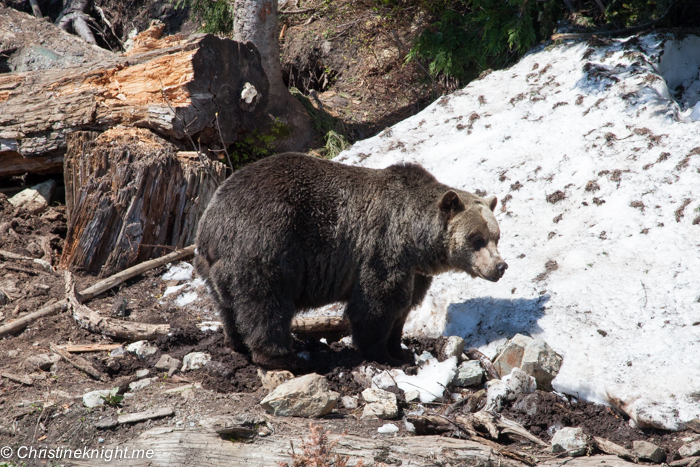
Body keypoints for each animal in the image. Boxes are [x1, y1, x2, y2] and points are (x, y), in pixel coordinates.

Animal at [194, 153, 506, 370]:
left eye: (496, 236)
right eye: (476, 238)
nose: (500, 267)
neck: (416, 241)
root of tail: (212, 220)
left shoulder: (414, 272)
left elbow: (404, 306)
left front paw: (400, 349)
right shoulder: (383, 248)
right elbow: (376, 305)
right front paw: (382, 354)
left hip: (217, 267)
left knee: (228, 307)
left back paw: (237, 343)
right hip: (267, 243)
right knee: (266, 304)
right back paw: (283, 357)